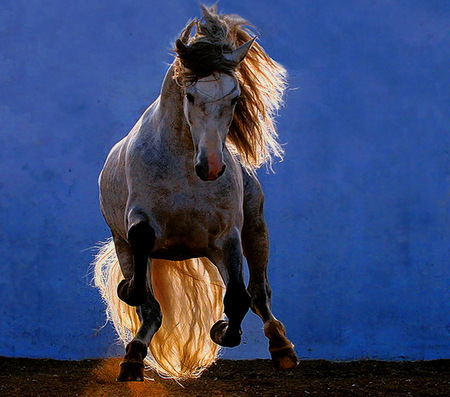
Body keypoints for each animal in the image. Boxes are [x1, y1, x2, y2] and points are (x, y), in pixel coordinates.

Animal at [94, 3, 298, 380]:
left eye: (235, 98)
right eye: (190, 95)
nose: (212, 167)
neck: (182, 168)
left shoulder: (226, 238)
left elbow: (237, 298)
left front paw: (221, 331)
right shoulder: (136, 222)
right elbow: (143, 251)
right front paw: (128, 291)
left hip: (253, 230)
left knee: (258, 292)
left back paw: (282, 348)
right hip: (123, 245)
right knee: (152, 310)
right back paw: (133, 358)